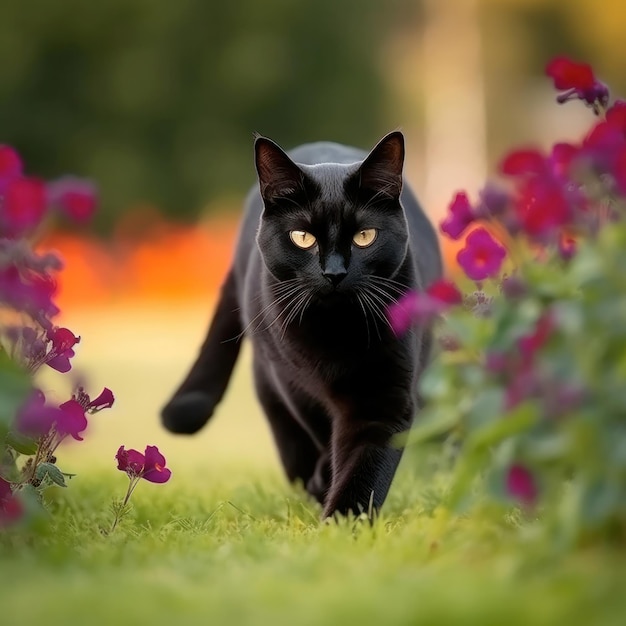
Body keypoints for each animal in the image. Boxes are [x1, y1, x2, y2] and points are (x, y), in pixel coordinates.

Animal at [163, 132, 442, 516]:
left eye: (364, 236)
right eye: (303, 237)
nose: (334, 272)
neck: (336, 332)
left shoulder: (385, 398)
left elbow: (366, 467)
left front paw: (343, 519)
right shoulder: (291, 380)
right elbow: (320, 429)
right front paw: (326, 488)